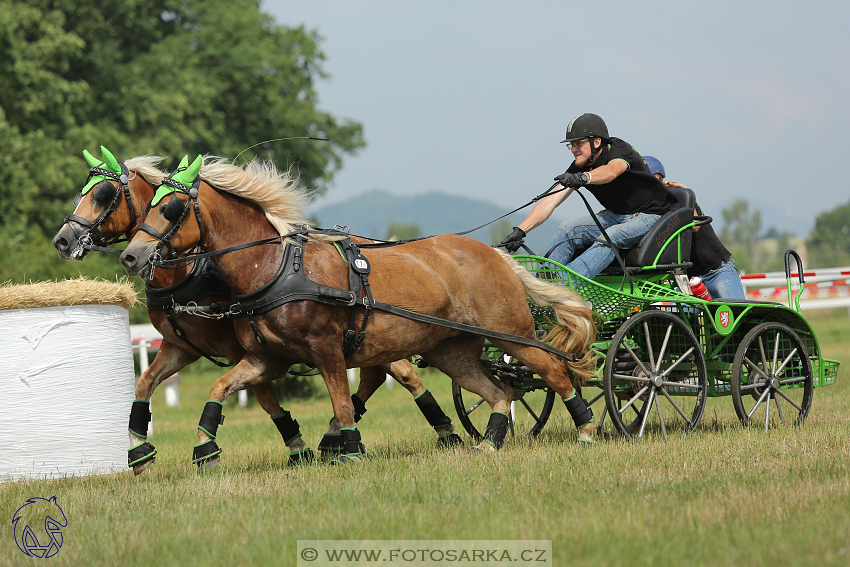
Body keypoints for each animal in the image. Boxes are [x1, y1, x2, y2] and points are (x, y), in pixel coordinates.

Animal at [53, 148, 458, 474]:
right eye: (80, 193)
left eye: (103, 194)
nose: (62, 240)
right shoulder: (180, 347)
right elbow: (145, 384)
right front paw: (140, 453)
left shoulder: (244, 351)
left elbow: (264, 399)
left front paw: (295, 447)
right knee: (376, 374)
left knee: (403, 372)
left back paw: (444, 431)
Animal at [117, 153, 596, 464]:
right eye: (149, 203)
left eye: (172, 207)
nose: (132, 256)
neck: (276, 267)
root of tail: (497, 255)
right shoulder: (264, 359)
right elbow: (220, 388)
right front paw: (204, 446)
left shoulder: (327, 351)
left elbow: (343, 403)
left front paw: (347, 451)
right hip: (450, 351)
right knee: (500, 392)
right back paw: (488, 444)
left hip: (512, 335)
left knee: (554, 373)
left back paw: (587, 430)